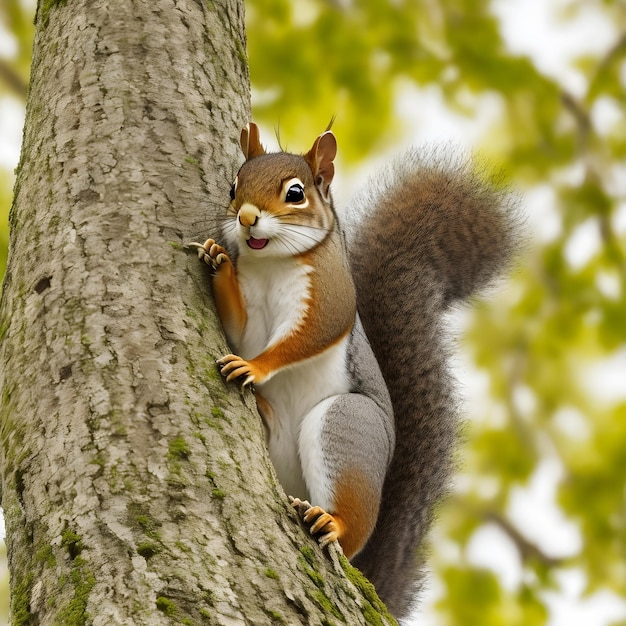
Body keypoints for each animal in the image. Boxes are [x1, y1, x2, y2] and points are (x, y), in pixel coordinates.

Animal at [190, 122, 516, 620]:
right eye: (233, 186)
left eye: (296, 192)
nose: (245, 218)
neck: (269, 263)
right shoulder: (247, 308)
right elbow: (237, 324)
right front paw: (216, 257)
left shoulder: (331, 295)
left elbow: (308, 336)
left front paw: (255, 365)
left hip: (348, 425)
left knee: (349, 525)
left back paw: (331, 520)